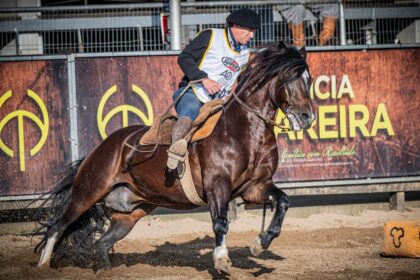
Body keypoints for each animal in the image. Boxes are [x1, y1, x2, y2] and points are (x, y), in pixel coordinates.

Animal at [35, 42, 316, 274]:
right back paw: (43, 265)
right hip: (88, 191)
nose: (308, 117)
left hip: (130, 212)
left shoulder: (254, 188)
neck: (243, 131)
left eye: (309, 79)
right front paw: (222, 259)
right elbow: (220, 223)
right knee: (58, 226)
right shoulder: (218, 187)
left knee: (102, 244)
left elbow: (283, 202)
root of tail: (101, 148)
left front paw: (260, 243)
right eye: (289, 77)